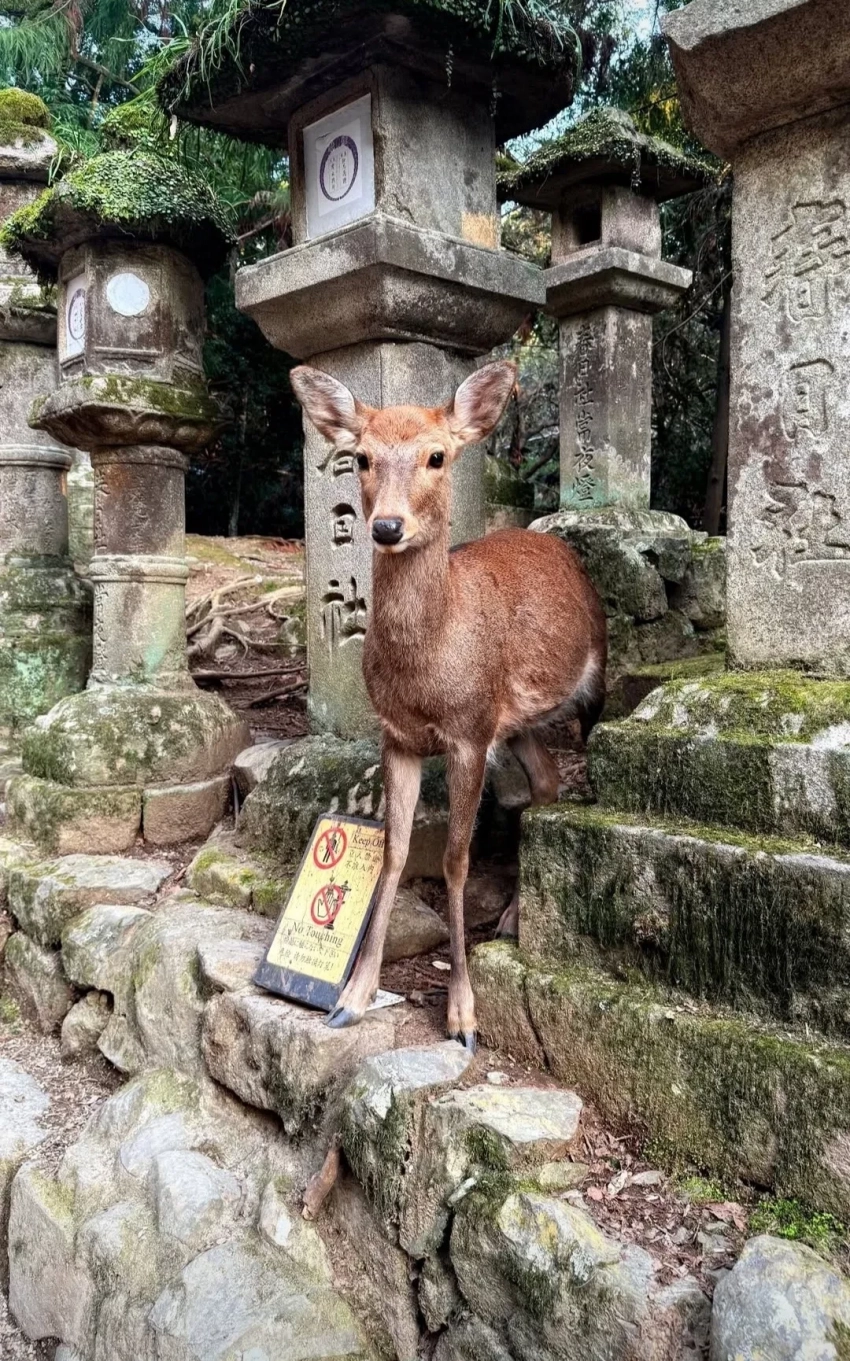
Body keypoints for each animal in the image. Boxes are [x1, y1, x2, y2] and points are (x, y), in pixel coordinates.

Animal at [291, 360, 607, 1052]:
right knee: (546, 780)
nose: (386, 526)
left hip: (591, 678)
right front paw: (351, 997)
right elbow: (395, 853)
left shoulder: (467, 734)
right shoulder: (400, 737)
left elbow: (457, 861)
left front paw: (464, 1016)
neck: (426, 676)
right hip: (511, 721)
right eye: (360, 457)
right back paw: (513, 913)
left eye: (437, 455)